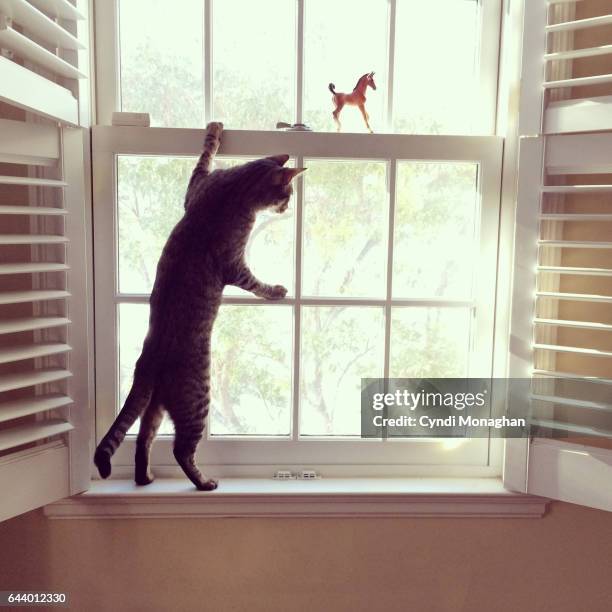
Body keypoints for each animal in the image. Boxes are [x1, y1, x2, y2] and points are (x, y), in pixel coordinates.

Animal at [92, 122, 306, 490]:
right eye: (287, 194)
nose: (287, 207)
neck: (235, 187)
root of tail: (148, 360)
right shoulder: (234, 265)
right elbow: (256, 285)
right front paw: (276, 291)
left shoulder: (195, 188)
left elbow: (204, 157)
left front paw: (214, 130)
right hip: (197, 399)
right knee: (180, 449)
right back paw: (204, 482)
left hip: (157, 407)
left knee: (142, 440)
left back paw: (145, 478)